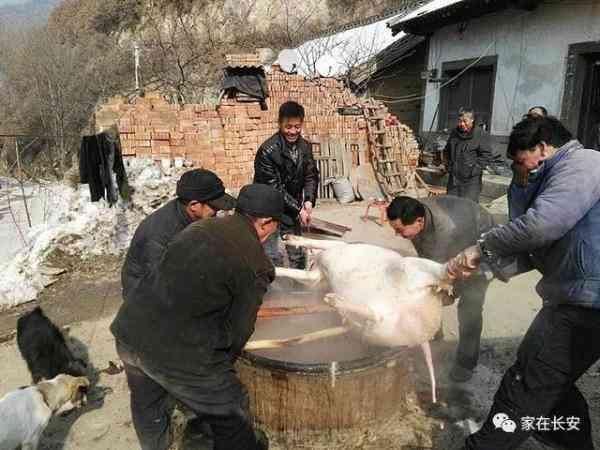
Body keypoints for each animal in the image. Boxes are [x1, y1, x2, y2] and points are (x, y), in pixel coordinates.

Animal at [274, 236, 452, 404]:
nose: (307, 260)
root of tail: (423, 334)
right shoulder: (316, 276)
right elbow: (301, 272)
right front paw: (278, 263)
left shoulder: (336, 248)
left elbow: (318, 242)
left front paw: (291, 239)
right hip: (378, 329)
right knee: (375, 315)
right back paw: (336, 302)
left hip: (412, 268)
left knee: (436, 272)